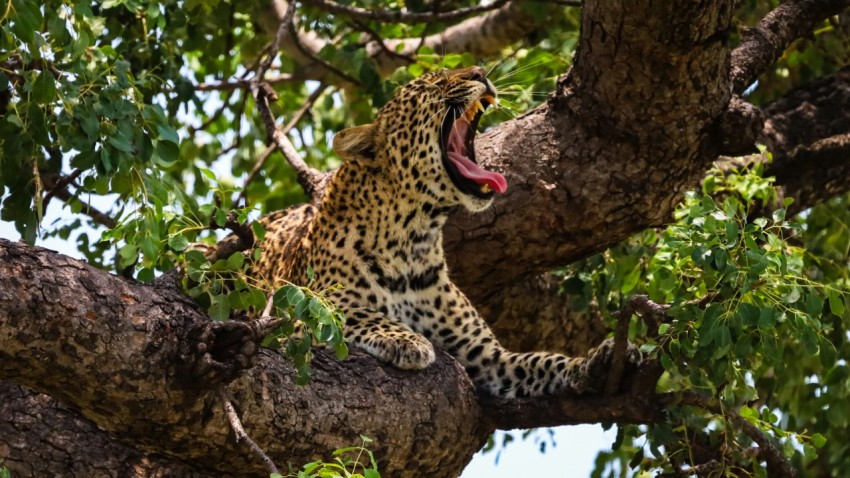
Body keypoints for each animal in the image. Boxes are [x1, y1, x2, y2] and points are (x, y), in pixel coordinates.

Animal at [248, 65, 632, 398]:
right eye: (433, 85)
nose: (480, 72)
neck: (411, 239)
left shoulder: (490, 358)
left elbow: (544, 361)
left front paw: (590, 365)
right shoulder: (299, 309)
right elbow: (349, 311)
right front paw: (408, 340)